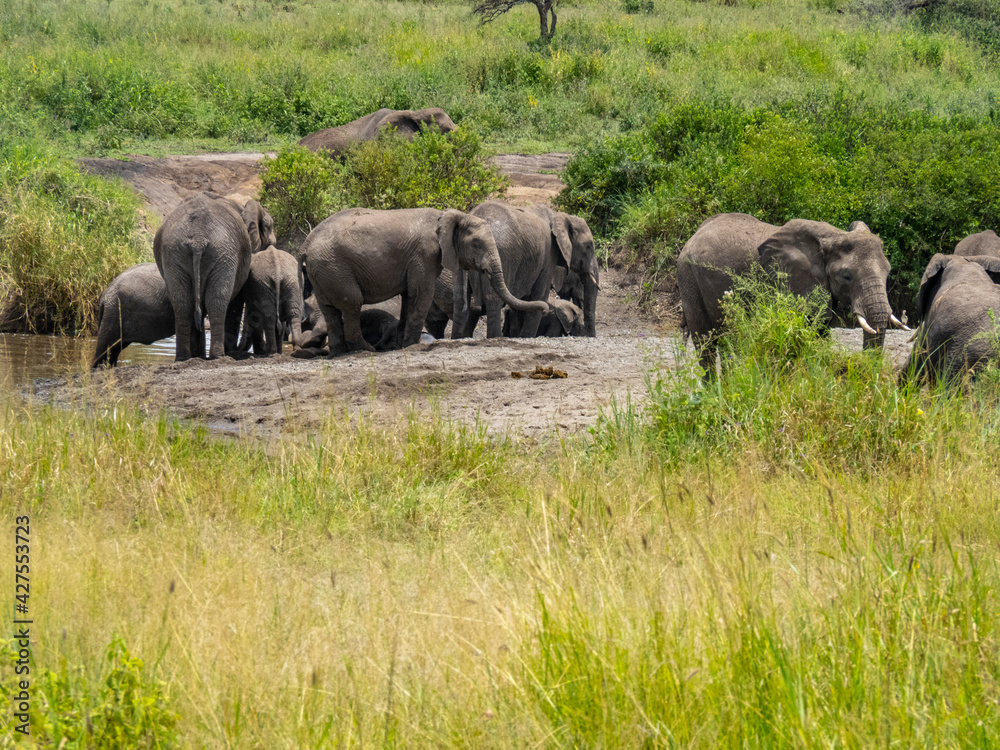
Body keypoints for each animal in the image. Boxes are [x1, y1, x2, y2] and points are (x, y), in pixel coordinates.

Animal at [153, 192, 276, 360]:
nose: (259, 351)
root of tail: (198, 239)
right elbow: (236, 303)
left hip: (175, 254)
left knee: (183, 304)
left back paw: (185, 358)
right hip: (222, 254)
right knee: (218, 301)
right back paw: (219, 356)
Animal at [302, 209, 548, 356]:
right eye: (477, 244)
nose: (546, 309)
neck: (450, 216)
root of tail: (306, 244)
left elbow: (407, 296)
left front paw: (399, 345)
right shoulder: (424, 254)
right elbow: (421, 294)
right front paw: (412, 345)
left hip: (324, 272)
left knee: (330, 310)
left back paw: (338, 351)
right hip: (335, 268)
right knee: (352, 304)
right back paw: (365, 349)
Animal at [458, 201, 596, 340]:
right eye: (589, 246)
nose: (590, 336)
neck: (561, 216)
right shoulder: (549, 256)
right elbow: (540, 294)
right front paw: (527, 337)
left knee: (467, 302)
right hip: (502, 256)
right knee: (493, 300)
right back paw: (495, 337)